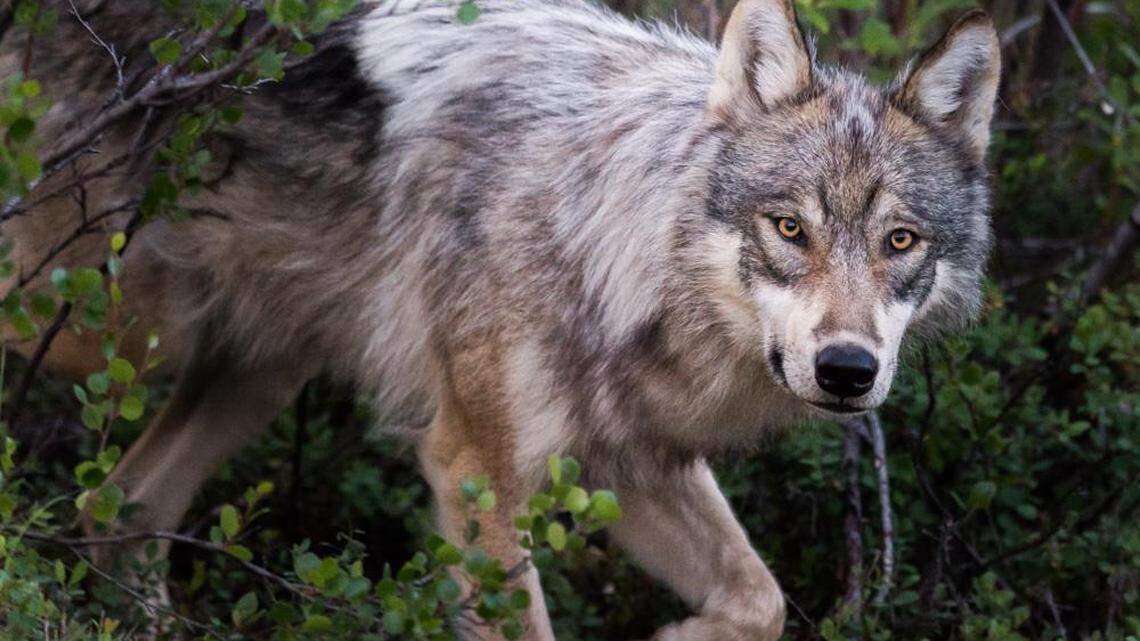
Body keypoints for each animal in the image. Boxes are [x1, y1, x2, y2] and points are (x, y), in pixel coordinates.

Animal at [0, 0, 1000, 638]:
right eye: (790, 228)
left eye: (901, 241)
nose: (846, 370)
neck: (601, 233)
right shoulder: (476, 467)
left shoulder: (630, 461)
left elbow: (764, 601)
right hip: (109, 331)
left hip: (258, 370)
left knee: (118, 502)